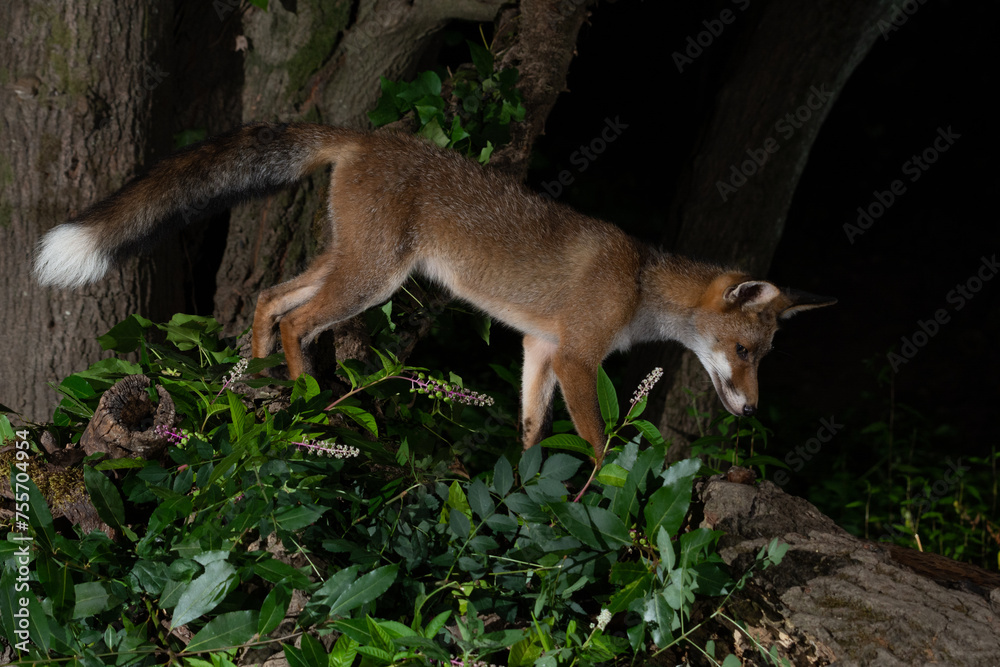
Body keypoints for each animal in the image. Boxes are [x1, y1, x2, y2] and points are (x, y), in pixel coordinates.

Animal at [35, 122, 835, 464]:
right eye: (744, 351)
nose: (751, 411)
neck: (641, 281)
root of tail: (367, 135)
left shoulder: (539, 347)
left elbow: (530, 430)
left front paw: (523, 485)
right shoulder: (578, 355)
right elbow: (597, 439)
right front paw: (605, 491)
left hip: (351, 261)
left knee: (269, 298)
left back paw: (256, 380)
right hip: (373, 276)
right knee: (300, 321)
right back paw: (306, 400)